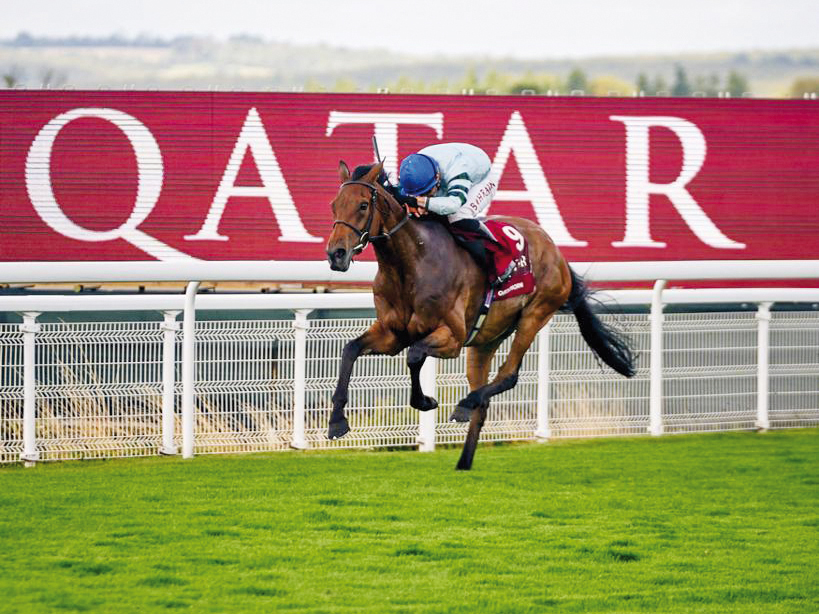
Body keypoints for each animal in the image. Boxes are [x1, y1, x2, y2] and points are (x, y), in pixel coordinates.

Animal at [326, 161, 636, 470]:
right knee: (484, 395)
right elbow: (350, 349)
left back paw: (465, 405)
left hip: (535, 314)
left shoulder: (452, 337)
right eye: (334, 205)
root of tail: (556, 251)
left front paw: (425, 401)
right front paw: (337, 422)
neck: (411, 263)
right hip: (486, 338)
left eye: (363, 205)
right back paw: (464, 460)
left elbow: (414, 355)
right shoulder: (392, 334)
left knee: (508, 375)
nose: (336, 254)